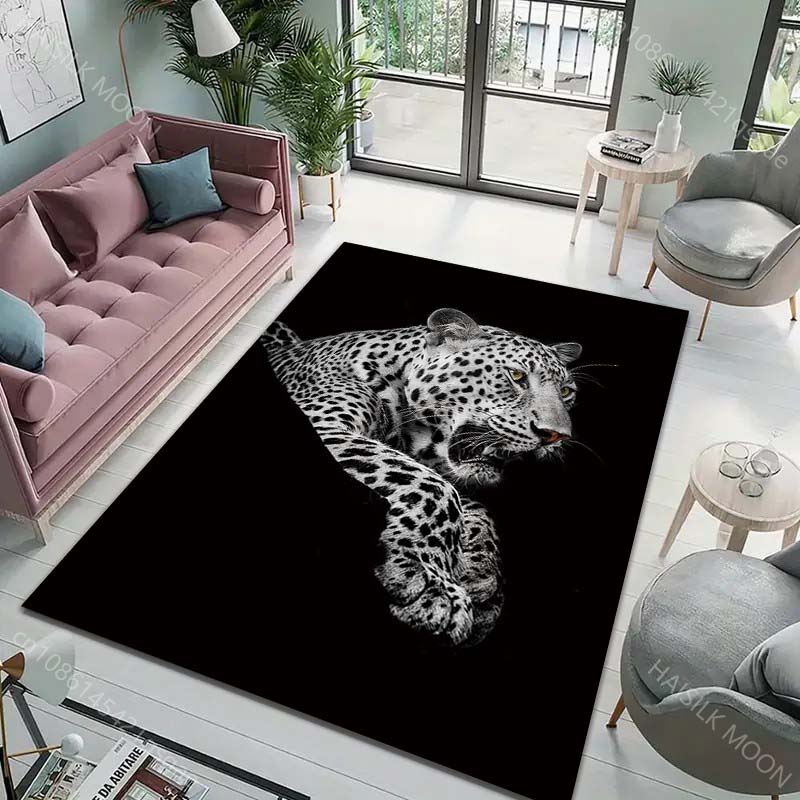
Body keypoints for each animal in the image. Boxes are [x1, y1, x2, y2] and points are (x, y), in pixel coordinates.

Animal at [261, 308, 581, 646]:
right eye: (517, 376)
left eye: (566, 392)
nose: (556, 436)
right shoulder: (325, 426)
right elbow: (435, 487)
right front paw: (434, 589)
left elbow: (474, 507)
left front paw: (481, 578)